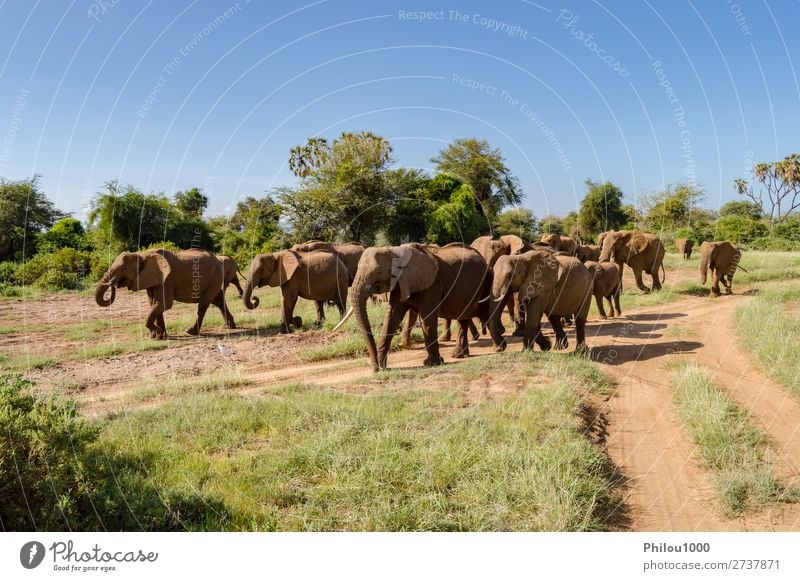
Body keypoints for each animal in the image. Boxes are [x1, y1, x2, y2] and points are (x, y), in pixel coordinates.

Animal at [336, 241, 500, 370]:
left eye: (379, 272)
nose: (374, 367)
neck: (394, 250)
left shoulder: (432, 284)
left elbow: (427, 318)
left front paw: (431, 363)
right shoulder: (401, 283)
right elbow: (392, 316)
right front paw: (382, 365)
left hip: (485, 282)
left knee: (485, 311)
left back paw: (499, 347)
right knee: (463, 318)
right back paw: (459, 355)